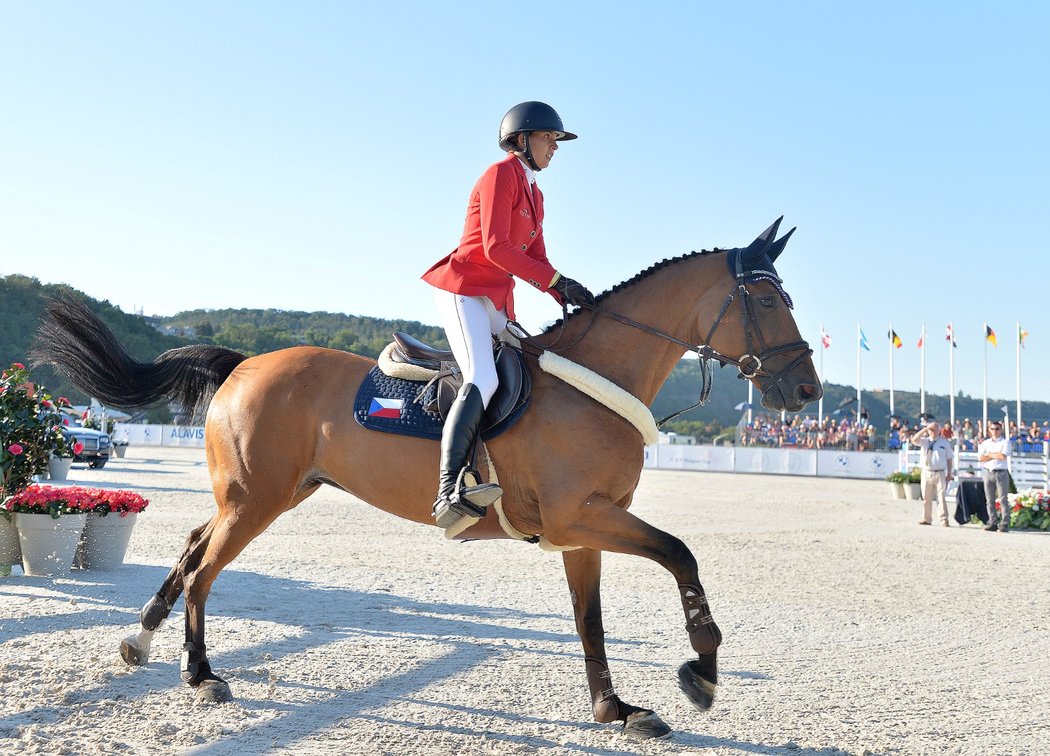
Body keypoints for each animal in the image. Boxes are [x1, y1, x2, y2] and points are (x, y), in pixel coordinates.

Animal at [32, 218, 823, 739]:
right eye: (768, 301)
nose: (806, 392)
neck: (593, 381)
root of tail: (244, 363)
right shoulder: (581, 516)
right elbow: (681, 554)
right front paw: (702, 674)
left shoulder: (581, 530)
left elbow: (590, 620)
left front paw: (614, 710)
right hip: (257, 501)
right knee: (205, 570)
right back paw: (199, 675)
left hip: (263, 494)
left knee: (195, 544)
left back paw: (142, 639)